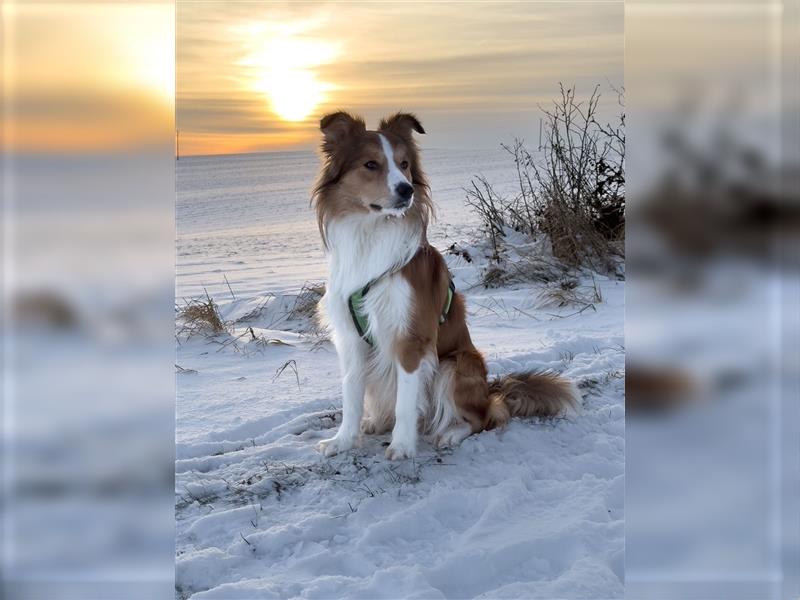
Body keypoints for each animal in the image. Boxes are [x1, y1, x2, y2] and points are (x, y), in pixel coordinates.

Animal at [310, 111, 580, 460]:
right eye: (371, 164)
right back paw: (377, 422)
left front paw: (402, 446)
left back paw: (451, 433)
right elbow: (351, 395)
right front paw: (343, 440)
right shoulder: (352, 339)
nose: (406, 190)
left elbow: (406, 402)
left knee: (483, 419)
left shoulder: (412, 339)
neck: (370, 235)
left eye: (405, 163)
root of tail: (489, 391)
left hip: (456, 365)